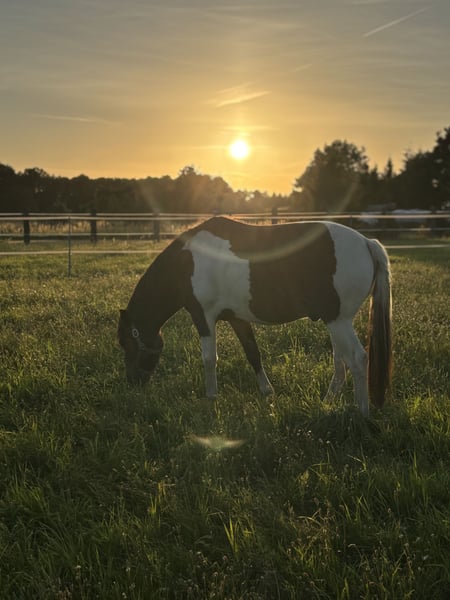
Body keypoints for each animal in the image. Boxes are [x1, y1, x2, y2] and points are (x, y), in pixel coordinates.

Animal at [118, 216, 392, 416]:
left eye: (126, 344)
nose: (132, 383)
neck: (186, 263)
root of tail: (367, 243)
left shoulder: (203, 316)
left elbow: (209, 358)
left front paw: (211, 397)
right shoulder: (237, 318)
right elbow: (253, 353)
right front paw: (267, 391)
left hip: (339, 321)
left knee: (357, 359)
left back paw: (362, 413)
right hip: (335, 321)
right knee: (341, 363)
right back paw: (327, 402)